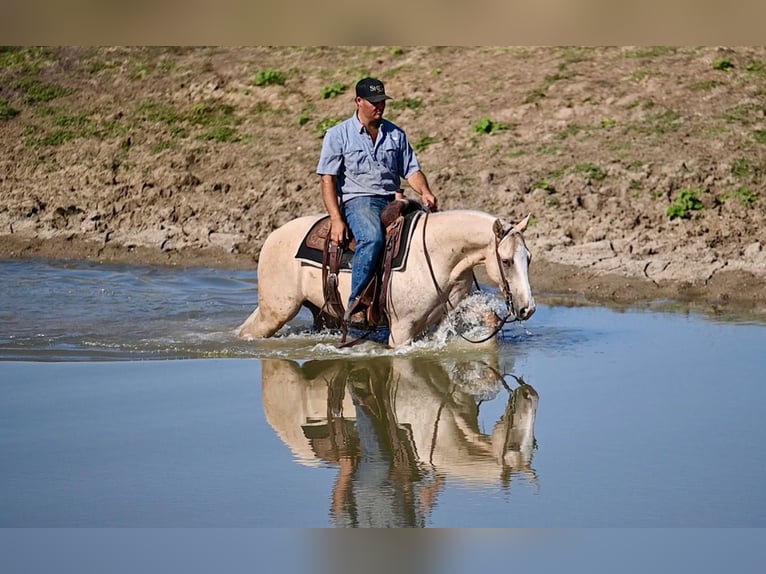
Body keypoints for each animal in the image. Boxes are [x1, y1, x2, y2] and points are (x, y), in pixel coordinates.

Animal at [237, 210, 536, 348]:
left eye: (529, 258)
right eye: (507, 261)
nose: (528, 308)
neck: (435, 254)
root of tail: (274, 235)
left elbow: (490, 321)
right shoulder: (401, 330)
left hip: (321, 313)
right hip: (276, 311)